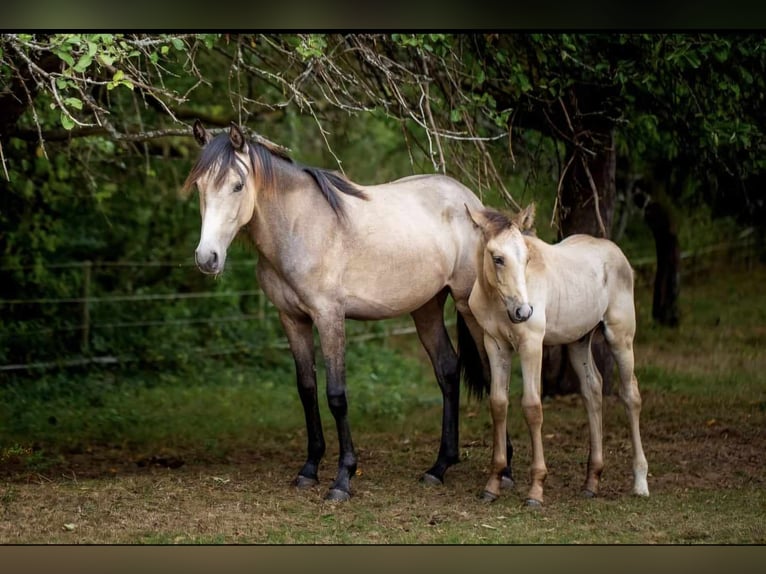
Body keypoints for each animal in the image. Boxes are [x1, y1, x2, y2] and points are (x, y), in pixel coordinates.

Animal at [183, 122, 512, 504]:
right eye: (199, 186)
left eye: (237, 185)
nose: (207, 258)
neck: (298, 228)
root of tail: (471, 202)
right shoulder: (291, 319)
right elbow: (306, 388)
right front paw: (309, 469)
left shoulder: (329, 316)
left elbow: (336, 395)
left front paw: (343, 478)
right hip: (426, 308)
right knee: (447, 371)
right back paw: (439, 467)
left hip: (469, 309)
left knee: (493, 374)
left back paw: (505, 471)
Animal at [464, 204, 652, 508]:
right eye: (498, 258)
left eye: (526, 257)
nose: (523, 311)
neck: (497, 302)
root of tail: (616, 252)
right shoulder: (495, 344)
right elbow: (498, 404)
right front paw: (492, 484)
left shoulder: (531, 344)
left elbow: (532, 406)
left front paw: (536, 490)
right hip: (578, 341)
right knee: (592, 390)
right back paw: (591, 482)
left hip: (621, 337)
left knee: (630, 395)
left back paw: (640, 482)